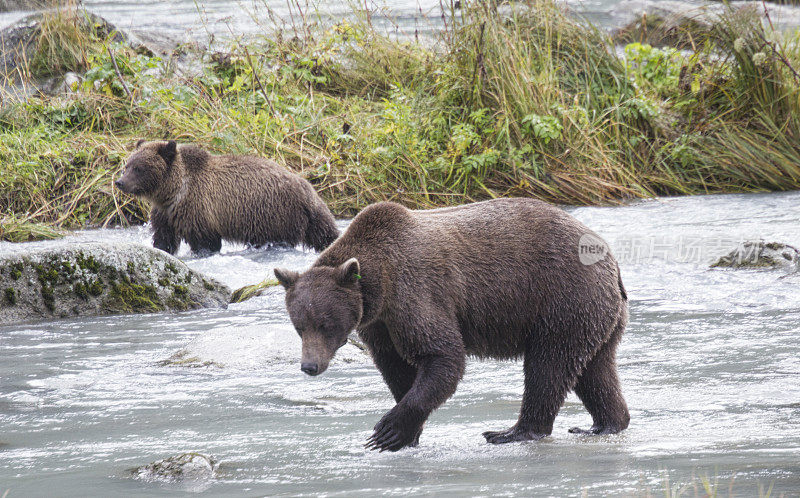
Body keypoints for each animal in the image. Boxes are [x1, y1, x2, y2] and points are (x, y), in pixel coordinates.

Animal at [115, 142, 338, 255]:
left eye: (139, 168)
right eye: (127, 164)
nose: (120, 182)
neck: (172, 191)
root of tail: (307, 190)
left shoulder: (198, 208)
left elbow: (205, 242)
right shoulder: (165, 213)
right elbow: (164, 238)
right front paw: (162, 249)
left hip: (273, 215)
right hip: (309, 217)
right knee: (324, 233)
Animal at [276, 198, 632, 452]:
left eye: (325, 324)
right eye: (299, 326)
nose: (309, 366)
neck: (379, 286)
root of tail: (610, 257)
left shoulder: (414, 293)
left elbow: (442, 355)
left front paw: (388, 431)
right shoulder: (380, 326)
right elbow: (396, 368)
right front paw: (406, 433)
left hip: (561, 299)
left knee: (548, 367)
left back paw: (512, 432)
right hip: (596, 315)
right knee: (595, 369)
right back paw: (604, 423)